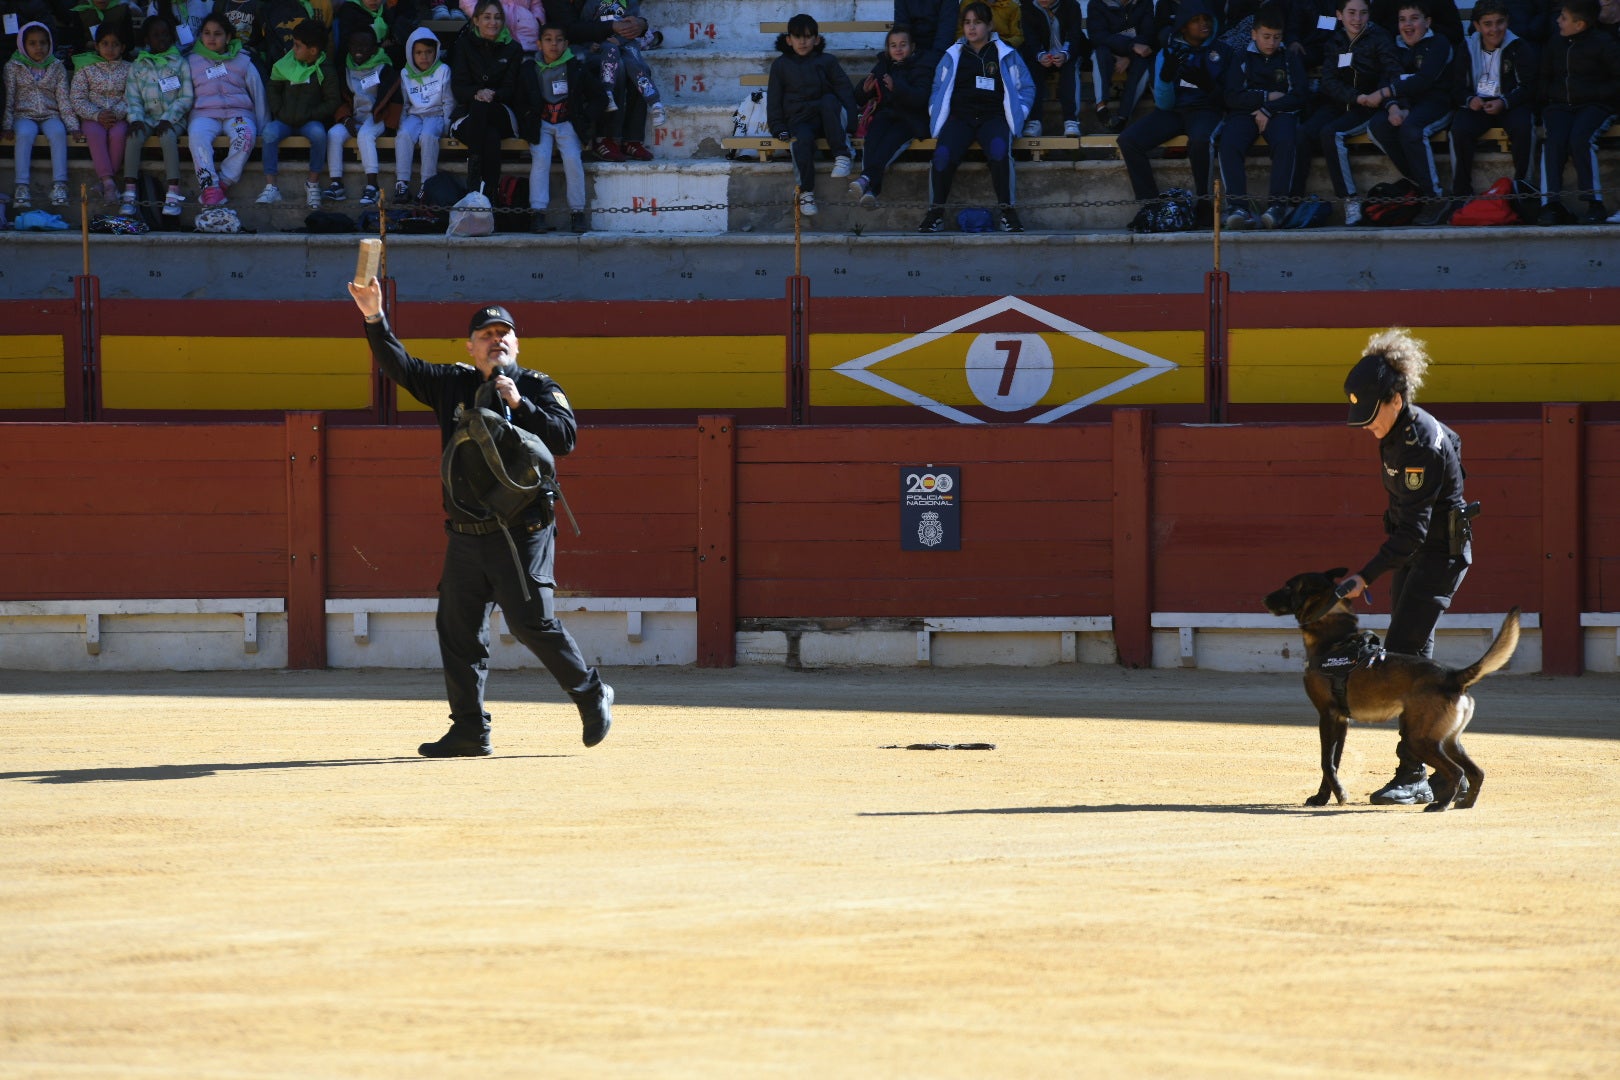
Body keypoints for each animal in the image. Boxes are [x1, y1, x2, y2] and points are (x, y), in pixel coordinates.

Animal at [1263, 573, 1516, 809]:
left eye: (1288, 586)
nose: (1264, 598)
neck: (1334, 642)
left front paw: (1339, 794)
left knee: (1456, 771)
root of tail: (1453, 676)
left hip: (1419, 739)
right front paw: (1323, 797)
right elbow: (1334, 762)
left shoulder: (1327, 716)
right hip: (1448, 741)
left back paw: (1440, 805)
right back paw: (1465, 803)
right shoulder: (1341, 721)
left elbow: (1326, 762)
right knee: (1476, 772)